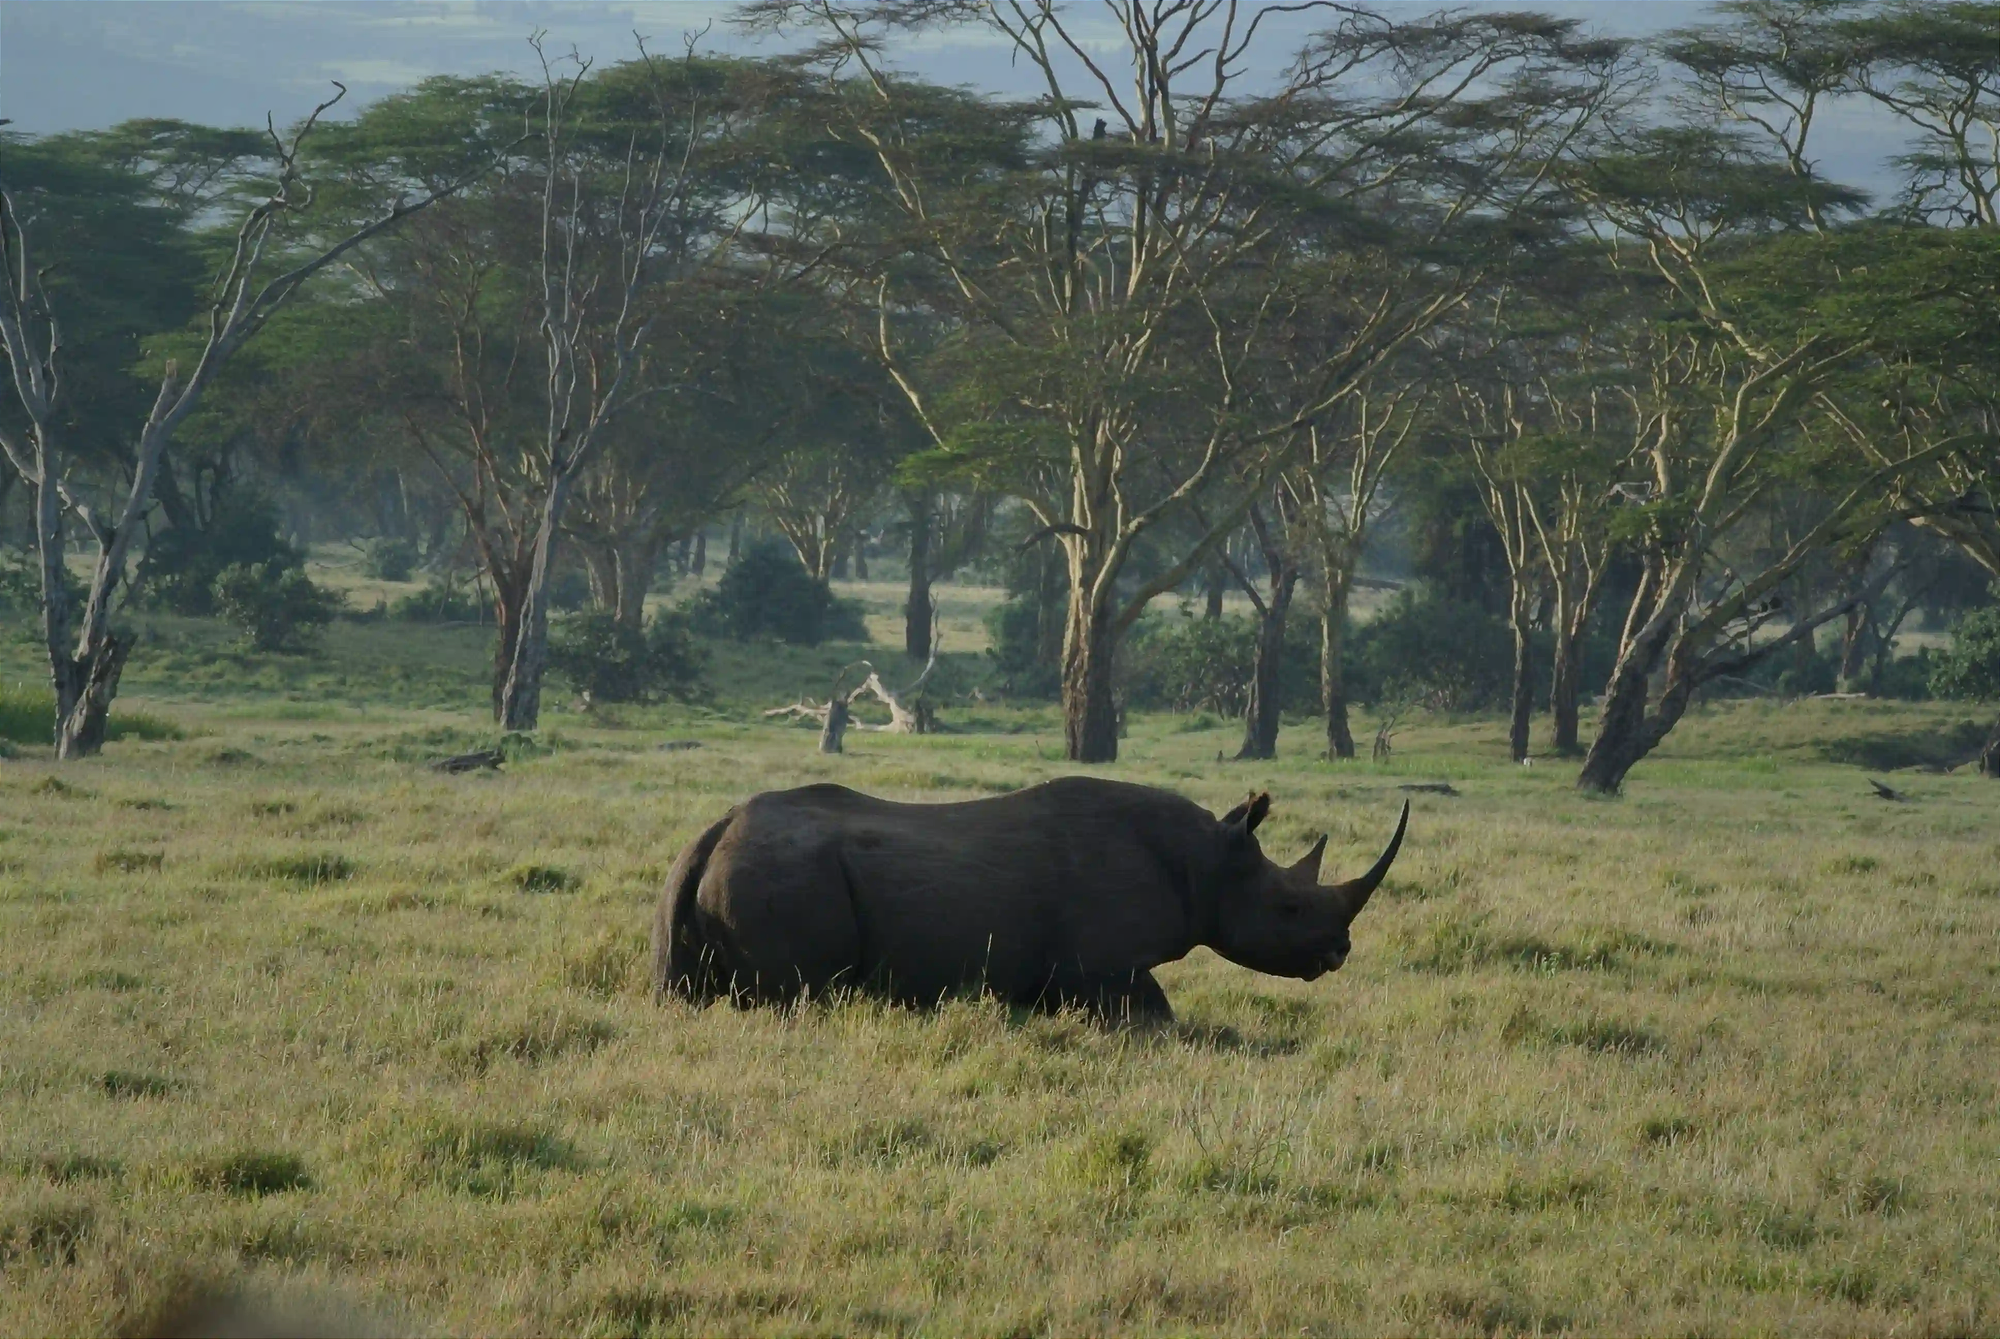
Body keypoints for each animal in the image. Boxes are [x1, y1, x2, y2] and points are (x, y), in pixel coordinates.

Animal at [652, 776, 1407, 1023]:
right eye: (1289, 909)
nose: (1339, 951)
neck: (1208, 861)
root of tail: (712, 834)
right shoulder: (1102, 966)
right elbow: (1155, 1012)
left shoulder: (1063, 971)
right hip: (782, 876)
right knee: (799, 995)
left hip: (711, 876)